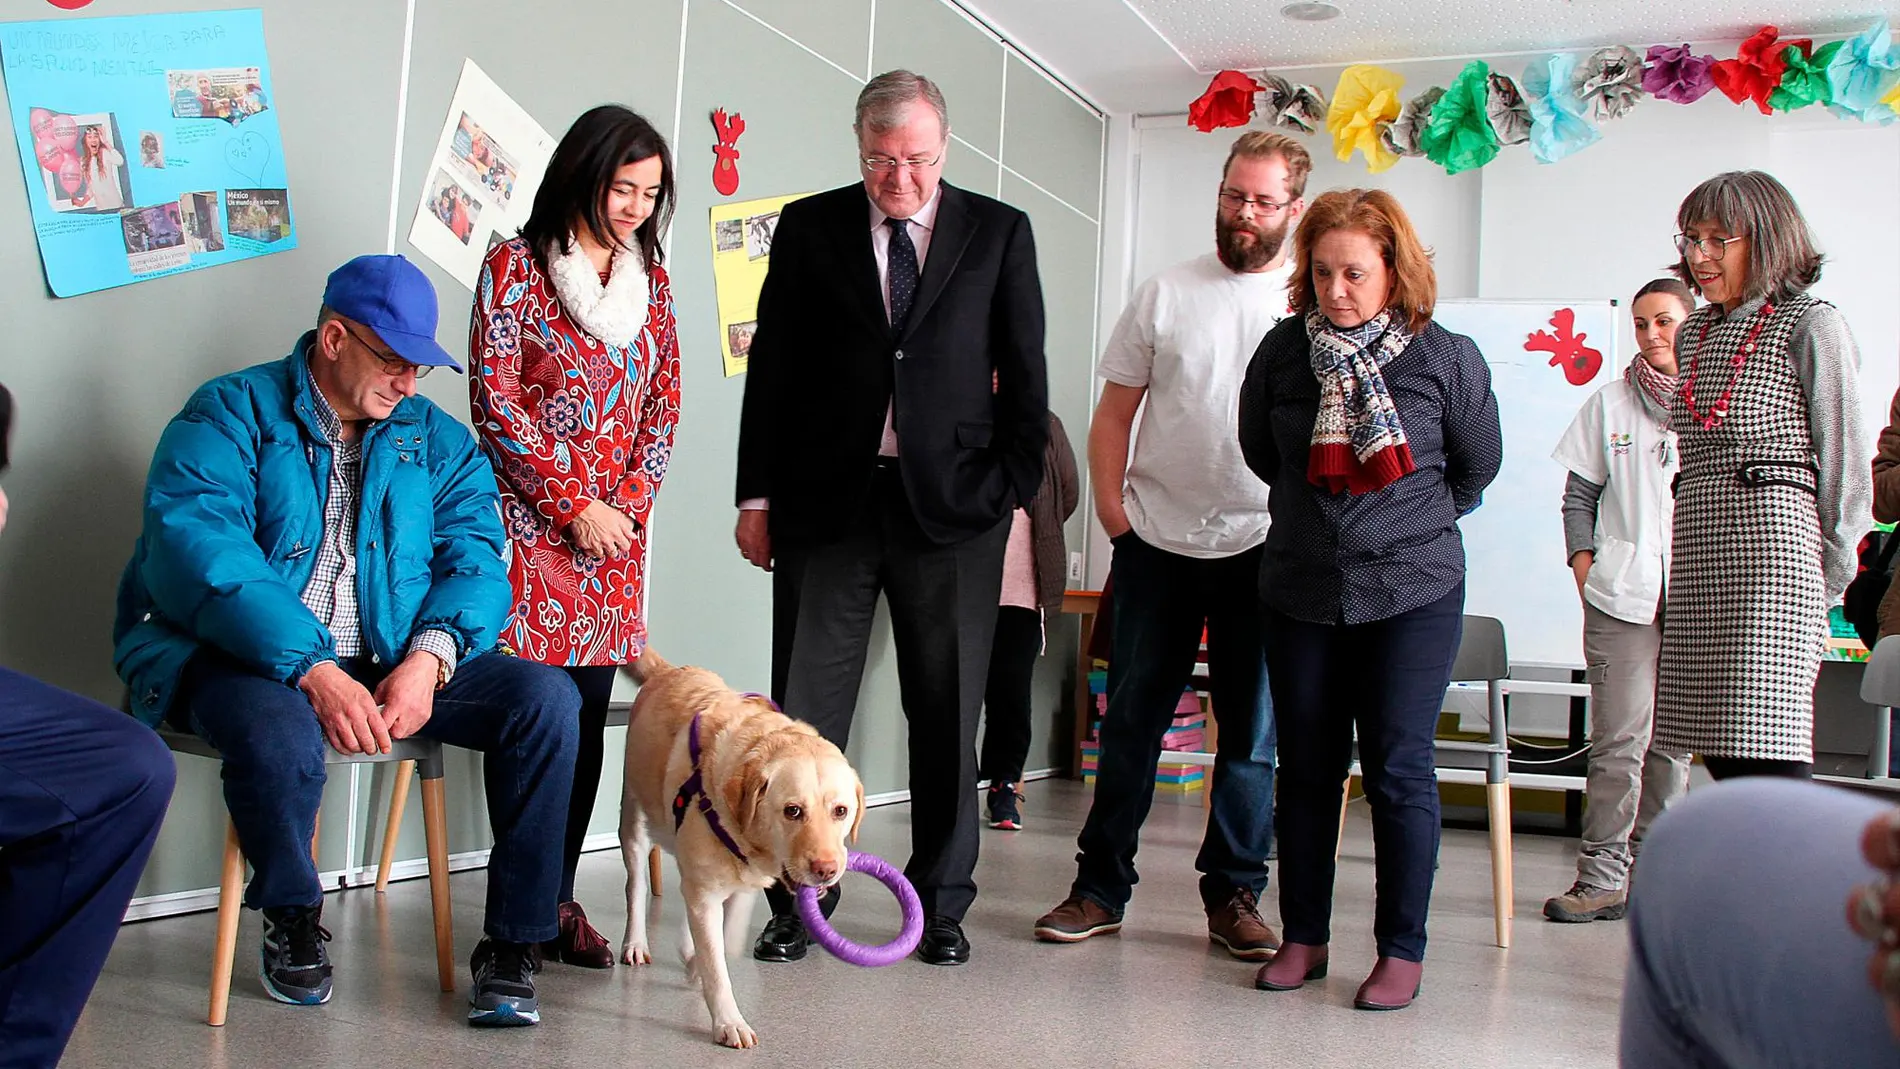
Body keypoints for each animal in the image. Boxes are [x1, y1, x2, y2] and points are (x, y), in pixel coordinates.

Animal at [619, 649, 866, 1048]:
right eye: (792, 811)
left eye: (840, 811)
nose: (826, 869)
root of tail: (670, 671)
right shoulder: (707, 886)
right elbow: (717, 965)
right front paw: (728, 1021)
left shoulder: (747, 879)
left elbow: (727, 940)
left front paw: (695, 962)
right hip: (635, 820)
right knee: (637, 885)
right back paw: (636, 943)